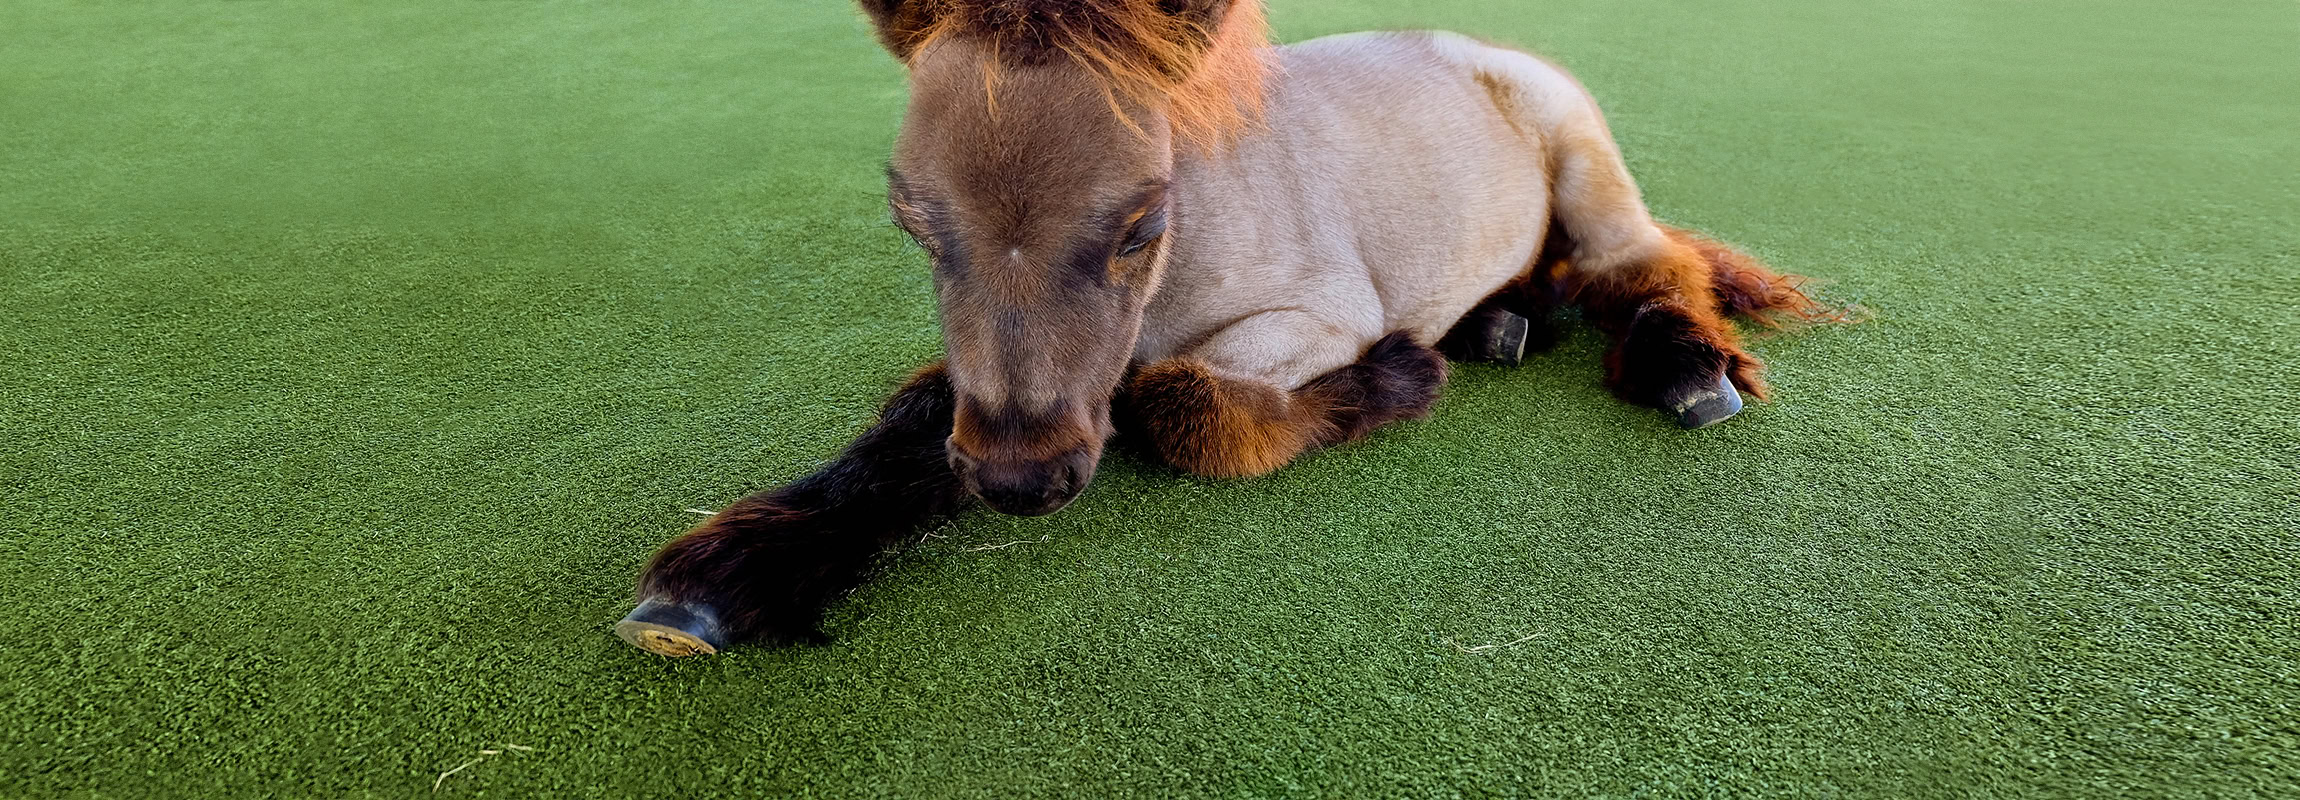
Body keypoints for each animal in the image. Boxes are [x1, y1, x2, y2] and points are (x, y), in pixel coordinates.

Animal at [614, 0, 1839, 657]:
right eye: (911, 221)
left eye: (1141, 221)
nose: (1020, 482)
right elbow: (918, 416)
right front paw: (726, 574)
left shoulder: (1318, 311)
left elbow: (1183, 401)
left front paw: (1395, 378)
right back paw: (1501, 320)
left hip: (1584, 154)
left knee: (1646, 262)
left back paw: (1680, 365)